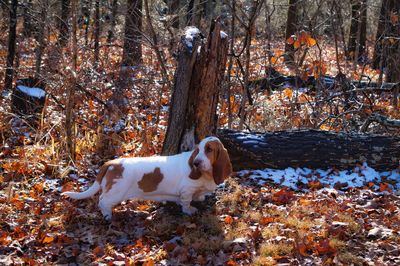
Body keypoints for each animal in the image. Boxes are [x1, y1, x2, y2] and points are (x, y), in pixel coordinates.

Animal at [62, 136, 231, 219]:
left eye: (209, 149)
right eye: (198, 150)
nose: (196, 163)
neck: (207, 174)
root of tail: (111, 163)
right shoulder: (186, 191)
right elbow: (186, 202)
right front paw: (189, 210)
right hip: (116, 192)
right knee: (103, 201)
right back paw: (108, 215)